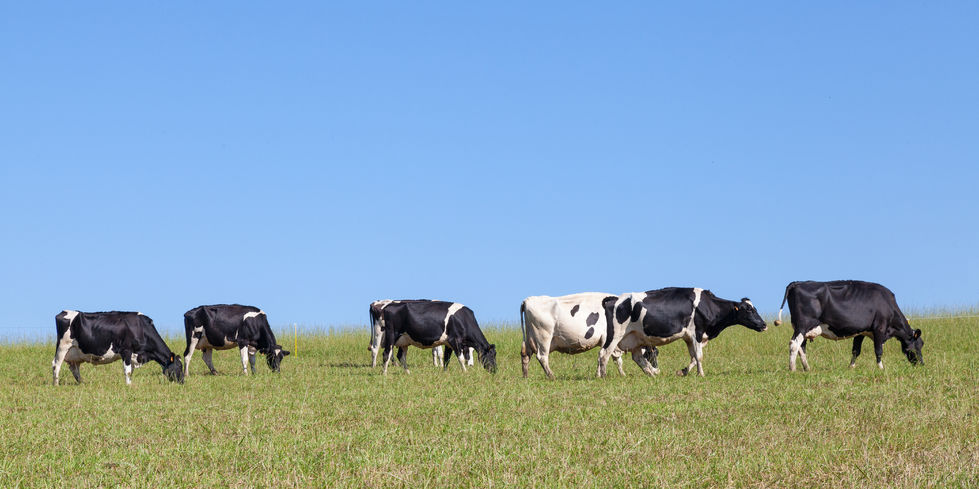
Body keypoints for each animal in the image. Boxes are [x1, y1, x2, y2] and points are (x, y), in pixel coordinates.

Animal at [52, 310, 184, 386]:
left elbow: (131, 370)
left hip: (75, 353)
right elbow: (128, 370)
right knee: (56, 364)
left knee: (74, 368)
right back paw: (56, 384)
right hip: (63, 346)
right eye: (179, 366)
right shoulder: (126, 350)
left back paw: (82, 383)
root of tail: (64, 311)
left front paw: (130, 383)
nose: (183, 382)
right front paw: (128, 385)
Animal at [520, 292, 657, 378]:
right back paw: (552, 376)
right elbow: (613, 359)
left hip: (530, 337)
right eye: (652, 353)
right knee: (542, 357)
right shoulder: (610, 340)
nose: (658, 371)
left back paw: (526, 377)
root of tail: (528, 300)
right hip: (543, 336)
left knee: (525, 354)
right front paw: (614, 375)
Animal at [597, 288, 768, 378]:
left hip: (636, 338)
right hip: (615, 335)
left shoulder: (689, 337)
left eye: (755, 308)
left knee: (637, 358)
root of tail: (613, 299)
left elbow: (693, 357)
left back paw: (651, 374)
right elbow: (699, 356)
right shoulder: (696, 333)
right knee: (604, 354)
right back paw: (603, 376)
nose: (764, 324)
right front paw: (701, 374)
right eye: (748, 310)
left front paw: (683, 371)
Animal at [774, 280, 923, 371]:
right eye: (918, 345)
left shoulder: (861, 332)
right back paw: (792, 369)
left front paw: (851, 367)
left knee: (801, 347)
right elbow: (878, 350)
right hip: (803, 325)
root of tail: (797, 283)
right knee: (794, 344)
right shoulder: (879, 328)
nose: (922, 364)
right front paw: (881, 368)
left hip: (803, 328)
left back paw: (807, 368)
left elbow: (856, 350)